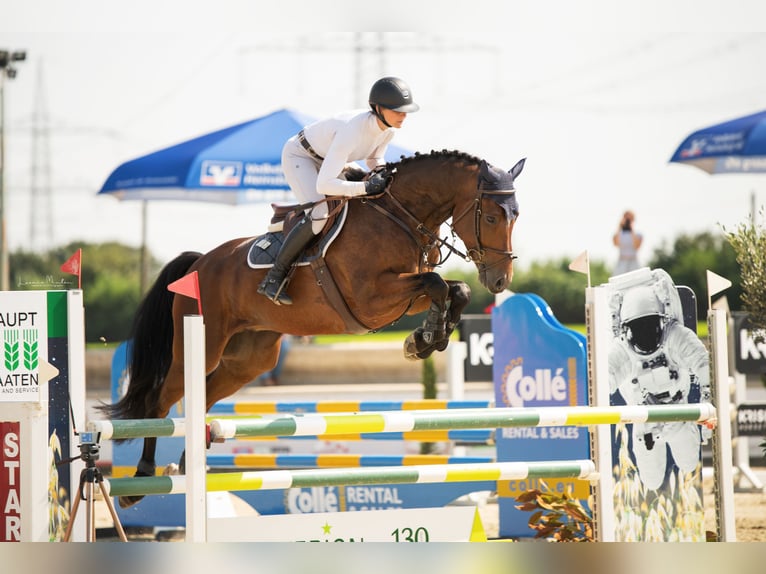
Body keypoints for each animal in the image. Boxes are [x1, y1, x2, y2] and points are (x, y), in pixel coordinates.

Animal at [100, 150, 520, 508]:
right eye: (492, 217)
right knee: (161, 400)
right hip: (203, 346)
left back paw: (190, 466)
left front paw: (426, 338)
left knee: (203, 397)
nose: (501, 281)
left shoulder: (401, 295)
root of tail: (200, 262)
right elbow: (435, 283)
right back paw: (140, 481)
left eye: (515, 215)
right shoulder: (372, 300)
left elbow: (455, 289)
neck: (398, 216)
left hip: (249, 360)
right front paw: (424, 339)